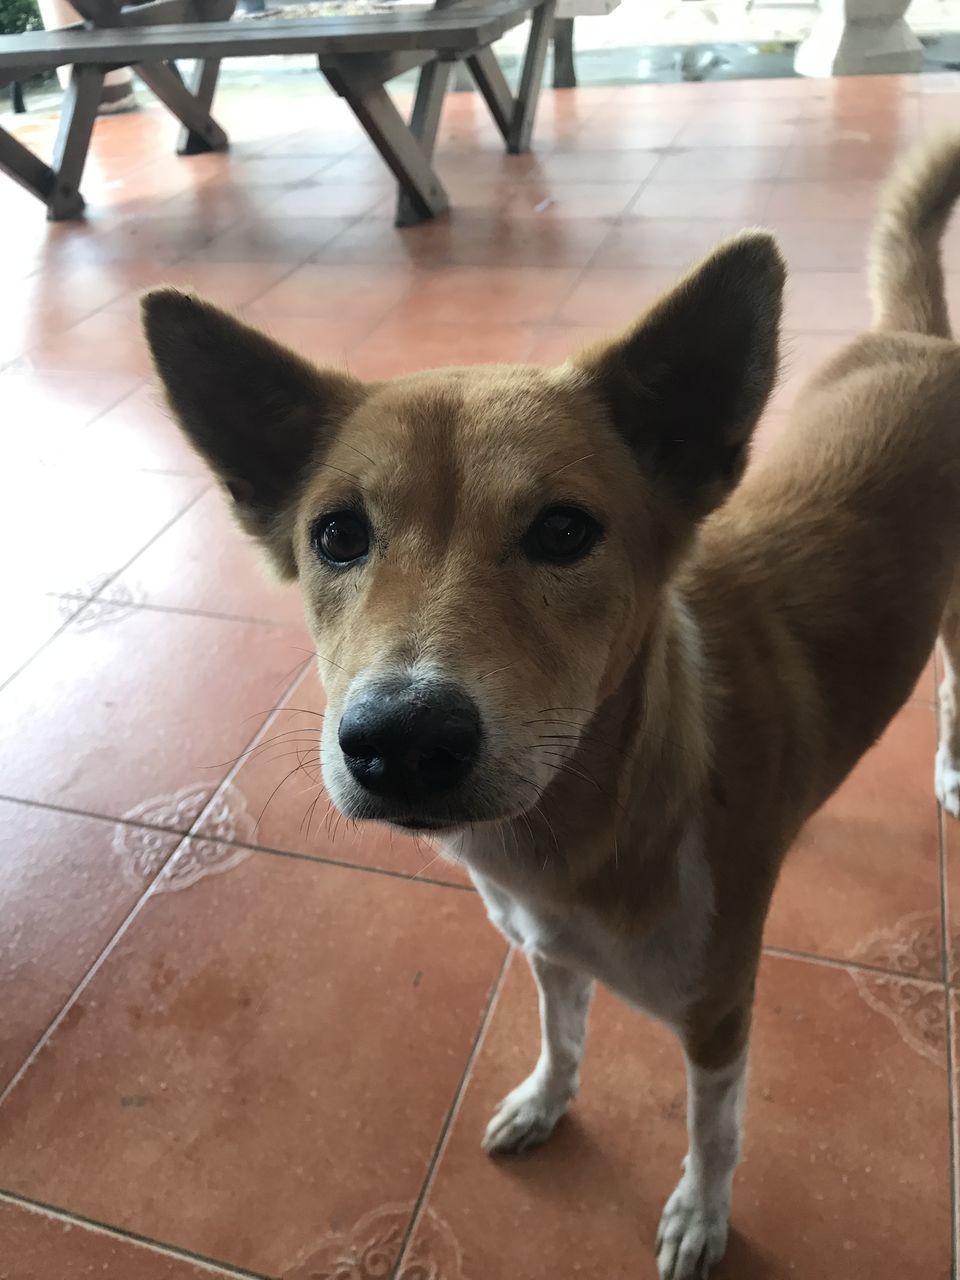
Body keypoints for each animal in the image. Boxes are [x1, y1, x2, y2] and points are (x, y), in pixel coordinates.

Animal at [138, 137, 960, 1280]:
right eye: (337, 535)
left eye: (566, 529)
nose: (400, 739)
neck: (583, 827)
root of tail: (920, 341)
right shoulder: (546, 951)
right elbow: (562, 1036)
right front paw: (544, 1102)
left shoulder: (721, 1015)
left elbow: (716, 1130)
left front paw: (701, 1215)